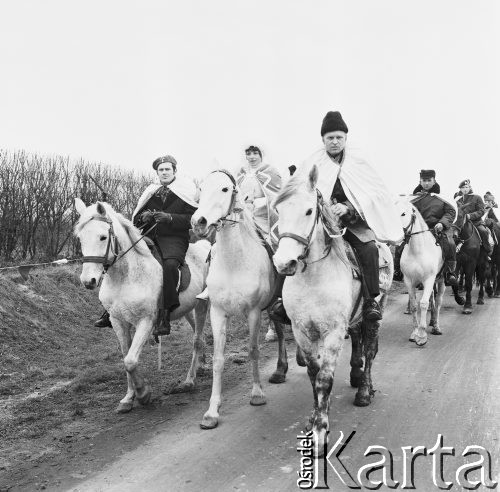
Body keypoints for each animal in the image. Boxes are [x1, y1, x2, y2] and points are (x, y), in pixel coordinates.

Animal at [73, 198, 208, 414]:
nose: (88, 281)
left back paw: (189, 381)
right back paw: (202, 366)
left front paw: (143, 394)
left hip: (202, 305)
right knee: (199, 335)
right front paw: (128, 398)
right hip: (189, 309)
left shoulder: (146, 321)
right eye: (80, 239)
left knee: (197, 339)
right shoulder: (118, 321)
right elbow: (125, 357)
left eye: (103, 237)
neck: (125, 277)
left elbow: (130, 360)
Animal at [191, 170, 290, 430]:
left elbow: (253, 350)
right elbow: (218, 359)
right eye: (201, 189)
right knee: (280, 330)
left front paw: (257, 393)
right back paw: (280, 370)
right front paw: (212, 411)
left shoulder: (253, 312)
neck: (233, 263)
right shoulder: (217, 312)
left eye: (225, 189)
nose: (198, 222)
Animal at [272, 167, 392, 456]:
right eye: (278, 210)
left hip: (374, 315)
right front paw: (315, 416)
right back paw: (356, 376)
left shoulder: (334, 333)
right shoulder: (303, 331)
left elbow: (324, 379)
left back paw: (364, 391)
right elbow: (313, 374)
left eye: (308, 211)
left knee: (370, 350)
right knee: (359, 341)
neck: (314, 277)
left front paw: (320, 432)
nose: (283, 263)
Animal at [396, 197, 448, 346]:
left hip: (441, 281)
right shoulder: (409, 280)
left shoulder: (429, 279)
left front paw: (422, 335)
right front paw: (415, 332)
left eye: (403, 213)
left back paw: (436, 326)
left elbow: (423, 304)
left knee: (438, 301)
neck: (417, 251)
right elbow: (414, 305)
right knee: (432, 300)